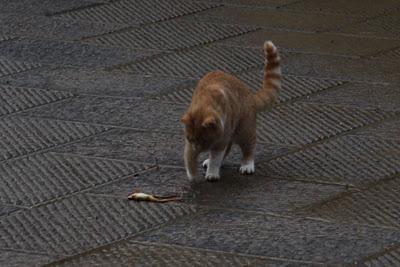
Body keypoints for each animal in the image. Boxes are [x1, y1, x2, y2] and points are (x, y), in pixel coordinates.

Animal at [181, 40, 282, 182]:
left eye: (205, 140)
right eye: (191, 139)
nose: (198, 150)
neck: (205, 102)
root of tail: (250, 95)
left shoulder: (221, 140)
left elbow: (216, 158)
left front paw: (212, 172)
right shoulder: (191, 143)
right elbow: (189, 157)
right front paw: (192, 173)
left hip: (244, 129)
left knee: (249, 147)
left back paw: (247, 164)